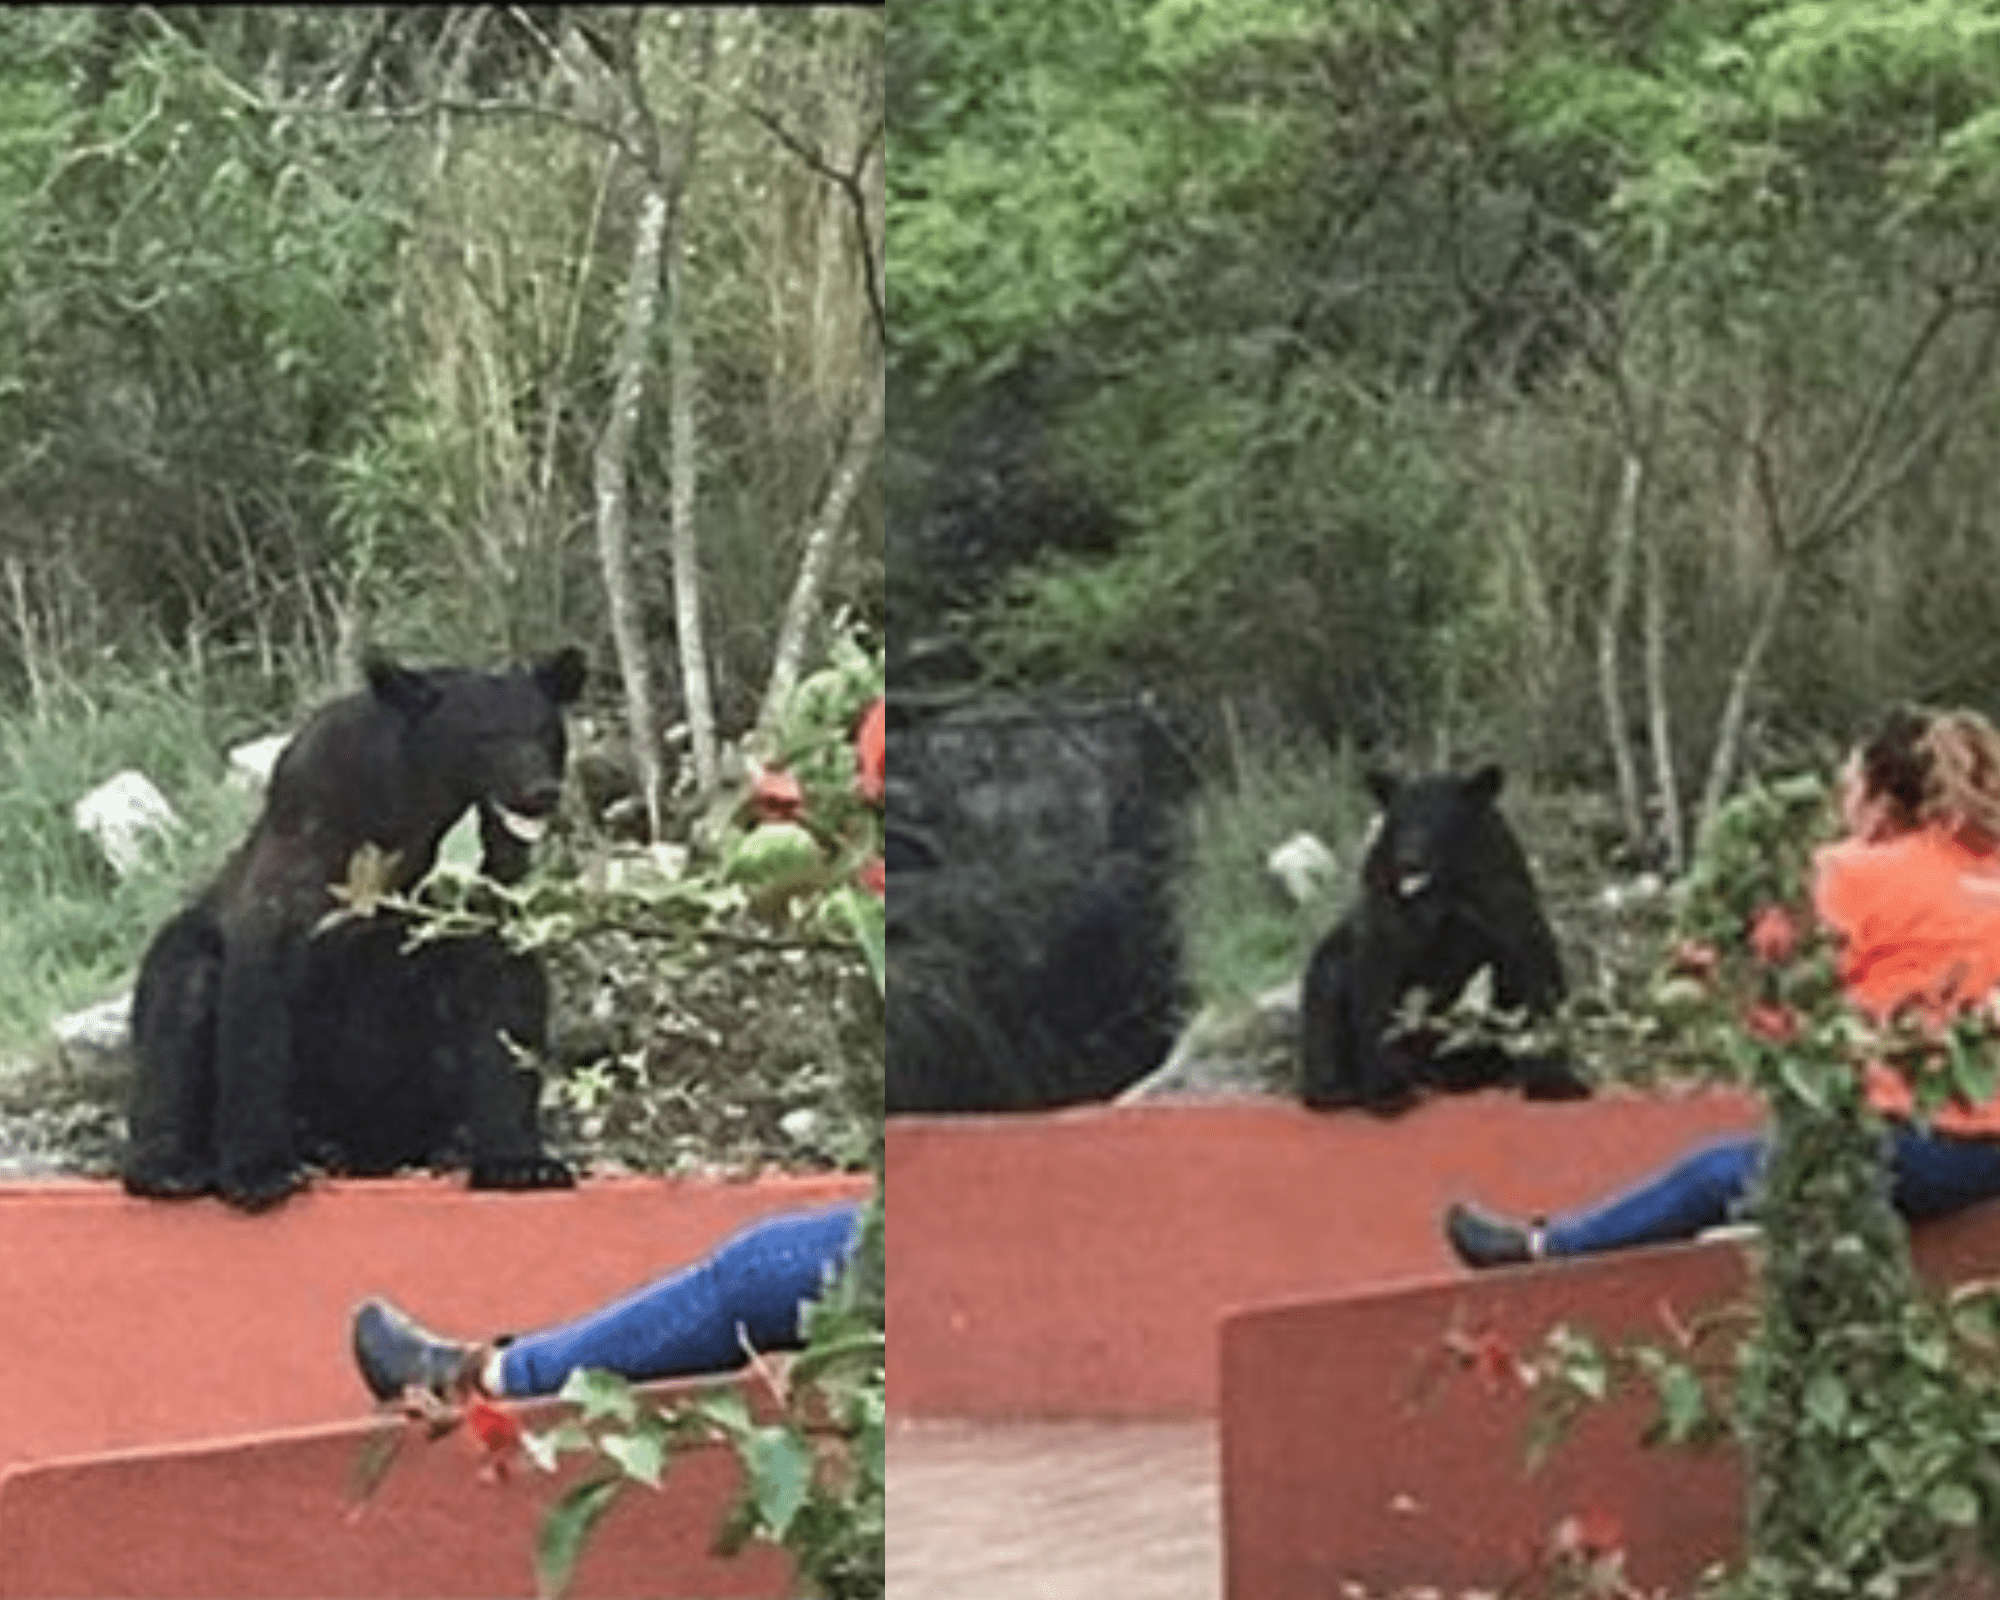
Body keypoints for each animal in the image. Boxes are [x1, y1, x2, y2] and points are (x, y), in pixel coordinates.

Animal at [123, 644, 584, 1208]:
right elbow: (259, 1004)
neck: (412, 820)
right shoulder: (305, 858)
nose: (540, 791)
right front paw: (261, 1170)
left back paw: (448, 1145)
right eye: (486, 736)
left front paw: (521, 1163)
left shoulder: (483, 884)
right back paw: (173, 1166)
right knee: (178, 1005)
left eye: (546, 732)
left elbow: (505, 998)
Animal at [1296, 768, 1592, 1120]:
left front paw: (1557, 1082)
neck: (1440, 896)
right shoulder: (1386, 920)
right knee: (1324, 1000)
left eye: (1439, 821)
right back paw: (1336, 1090)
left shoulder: (1503, 902)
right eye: (1398, 821)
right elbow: (1377, 990)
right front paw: (1387, 1092)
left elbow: (1536, 972)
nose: (1408, 859)